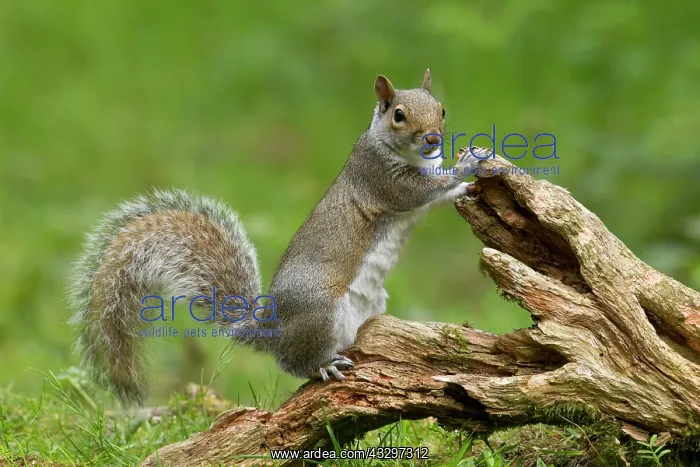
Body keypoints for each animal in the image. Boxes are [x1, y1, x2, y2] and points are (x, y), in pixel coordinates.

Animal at [68, 69, 482, 406]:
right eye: (398, 114)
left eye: (442, 109)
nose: (433, 138)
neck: (410, 156)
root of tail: (270, 330)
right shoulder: (380, 178)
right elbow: (418, 193)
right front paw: (469, 164)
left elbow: (436, 196)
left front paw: (466, 184)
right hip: (320, 311)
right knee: (296, 364)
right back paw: (324, 367)